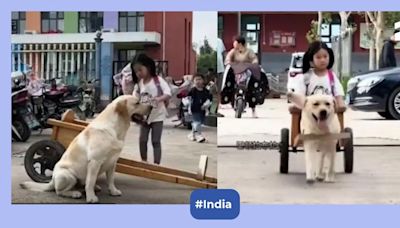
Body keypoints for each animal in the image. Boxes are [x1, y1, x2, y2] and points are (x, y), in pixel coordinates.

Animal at [20, 95, 152, 203]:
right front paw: (91, 198)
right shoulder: (95, 161)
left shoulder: (113, 162)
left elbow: (111, 180)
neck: (115, 129)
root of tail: (52, 180)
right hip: (68, 176)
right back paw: (74, 193)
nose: (151, 106)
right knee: (59, 191)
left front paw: (113, 191)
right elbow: (90, 181)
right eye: (137, 103)